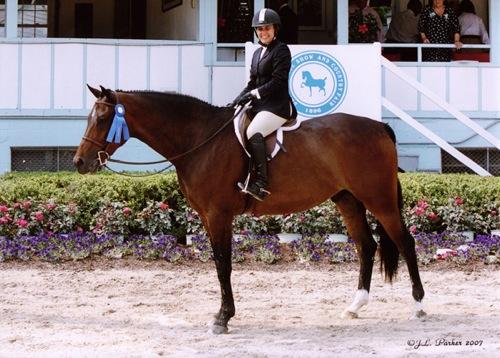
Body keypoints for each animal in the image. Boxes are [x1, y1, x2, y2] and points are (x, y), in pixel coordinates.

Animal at [74, 86, 426, 336]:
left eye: (103, 119)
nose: (80, 162)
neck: (200, 139)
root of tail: (379, 127)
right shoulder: (207, 216)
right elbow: (219, 263)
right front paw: (223, 314)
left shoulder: (218, 214)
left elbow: (223, 265)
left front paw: (223, 318)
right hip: (348, 200)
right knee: (366, 246)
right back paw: (355, 306)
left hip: (379, 200)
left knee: (405, 243)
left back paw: (419, 305)